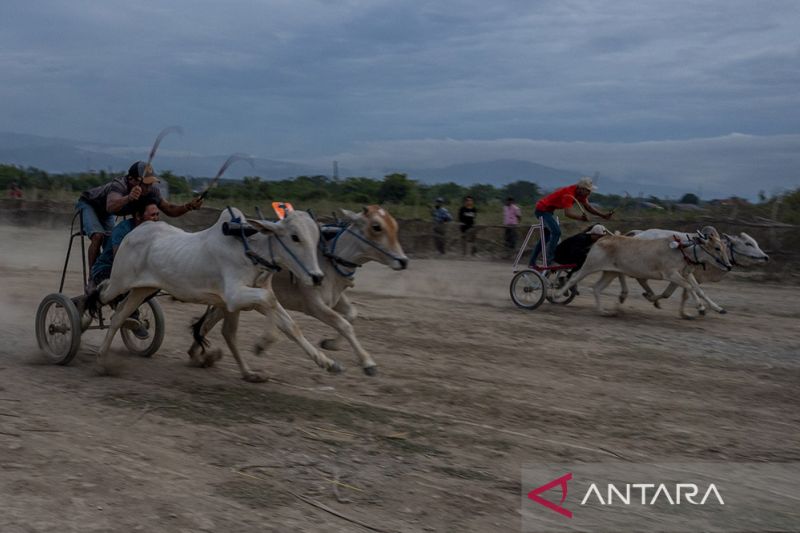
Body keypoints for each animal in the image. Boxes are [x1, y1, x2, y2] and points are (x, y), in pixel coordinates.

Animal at [96, 207, 340, 378]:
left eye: (317, 238)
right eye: (295, 237)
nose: (317, 277)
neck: (250, 250)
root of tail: (135, 232)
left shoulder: (249, 298)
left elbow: (291, 325)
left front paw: (327, 362)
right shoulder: (234, 297)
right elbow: (269, 303)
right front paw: (264, 342)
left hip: (142, 289)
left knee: (119, 315)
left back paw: (105, 358)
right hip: (120, 282)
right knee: (102, 294)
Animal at [188, 206, 410, 376]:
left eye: (395, 226)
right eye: (376, 226)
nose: (403, 261)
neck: (329, 257)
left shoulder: (334, 299)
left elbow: (351, 315)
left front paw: (331, 344)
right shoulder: (314, 305)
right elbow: (343, 324)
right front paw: (368, 362)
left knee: (207, 324)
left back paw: (198, 356)